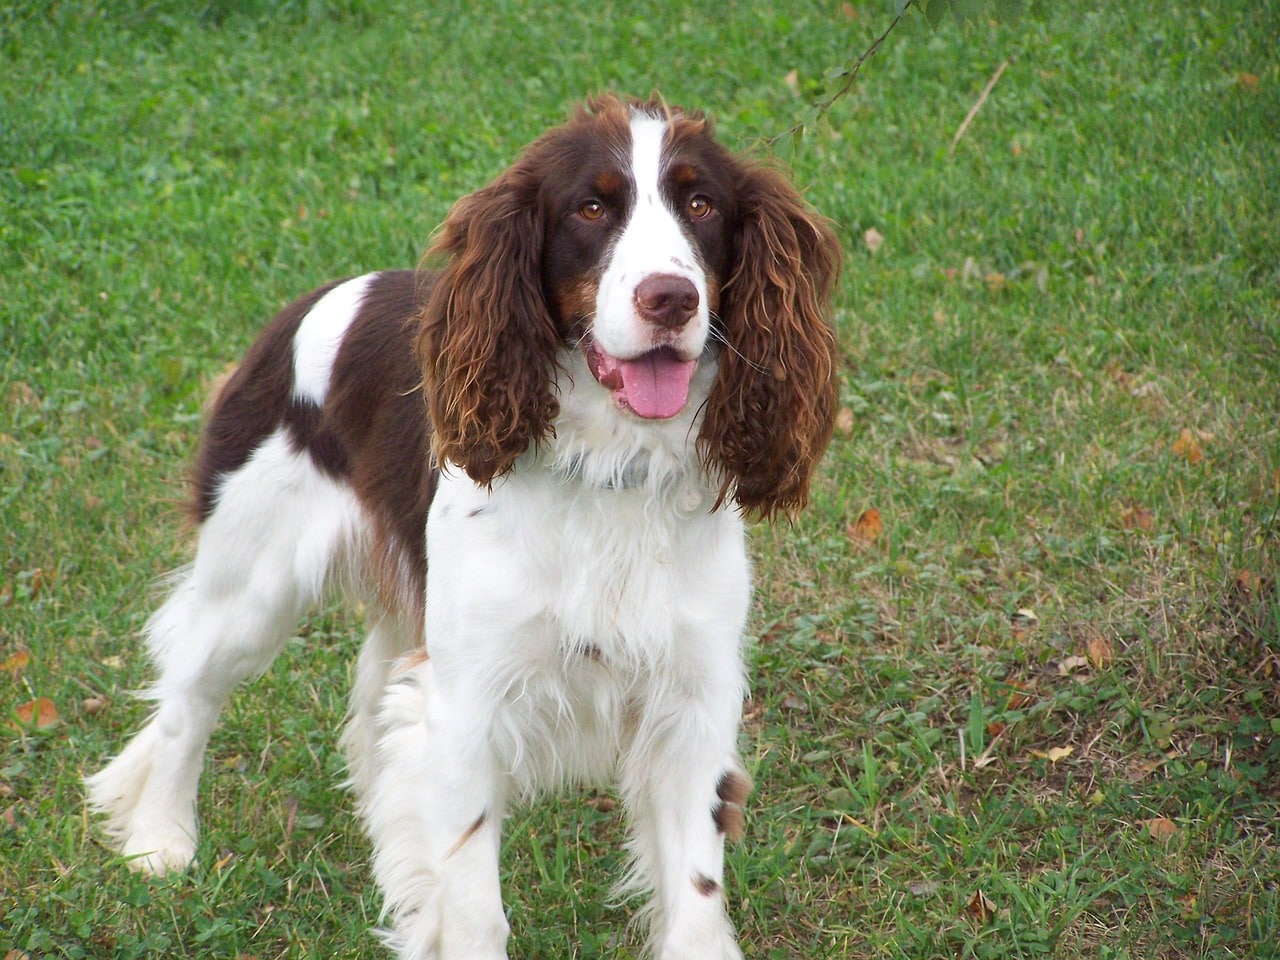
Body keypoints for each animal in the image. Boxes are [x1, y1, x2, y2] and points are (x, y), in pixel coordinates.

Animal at [90, 92, 844, 960]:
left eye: (702, 205)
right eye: (591, 208)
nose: (670, 298)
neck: (612, 465)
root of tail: (306, 307)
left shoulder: (693, 703)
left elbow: (694, 896)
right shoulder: (469, 707)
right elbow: (476, 903)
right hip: (251, 584)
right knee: (188, 696)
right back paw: (161, 840)